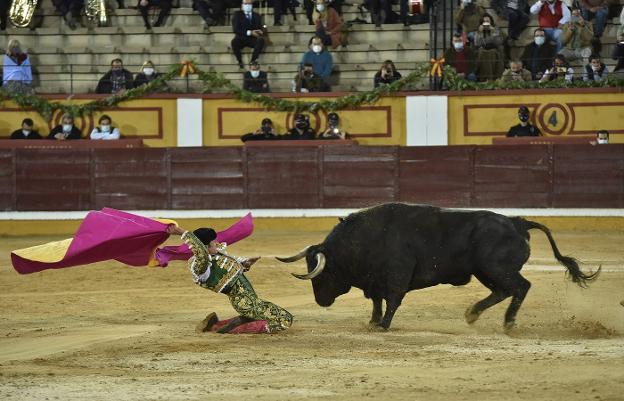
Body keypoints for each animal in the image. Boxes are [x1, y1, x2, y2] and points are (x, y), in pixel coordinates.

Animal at [278, 202, 600, 330]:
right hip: (485, 272)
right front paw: (373, 322)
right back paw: (472, 314)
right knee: (503, 291)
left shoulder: (396, 277)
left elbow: (391, 300)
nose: (320, 301)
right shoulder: (376, 281)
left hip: (497, 268)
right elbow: (377, 301)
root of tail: (517, 222)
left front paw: (383, 326)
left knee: (521, 287)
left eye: (323, 273)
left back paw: (508, 323)